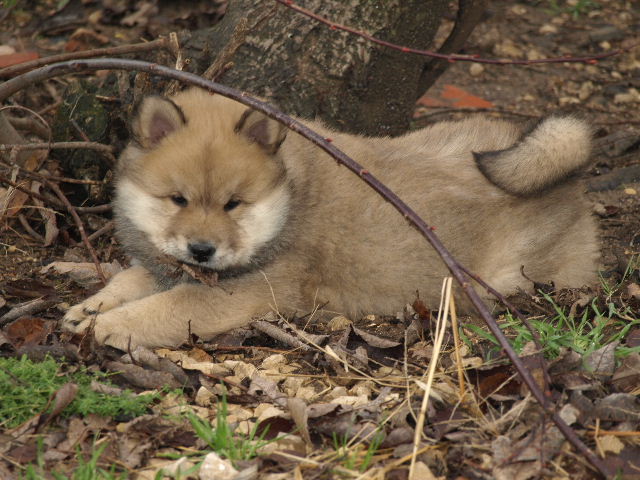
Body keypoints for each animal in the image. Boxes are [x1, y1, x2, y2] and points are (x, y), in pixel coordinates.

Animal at [62, 88, 599, 350]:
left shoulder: (249, 291)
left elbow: (167, 307)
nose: (202, 250)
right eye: (178, 199)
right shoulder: (170, 268)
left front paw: (108, 324)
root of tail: (571, 182)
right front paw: (91, 306)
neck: (291, 199)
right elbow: (133, 278)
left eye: (234, 204)